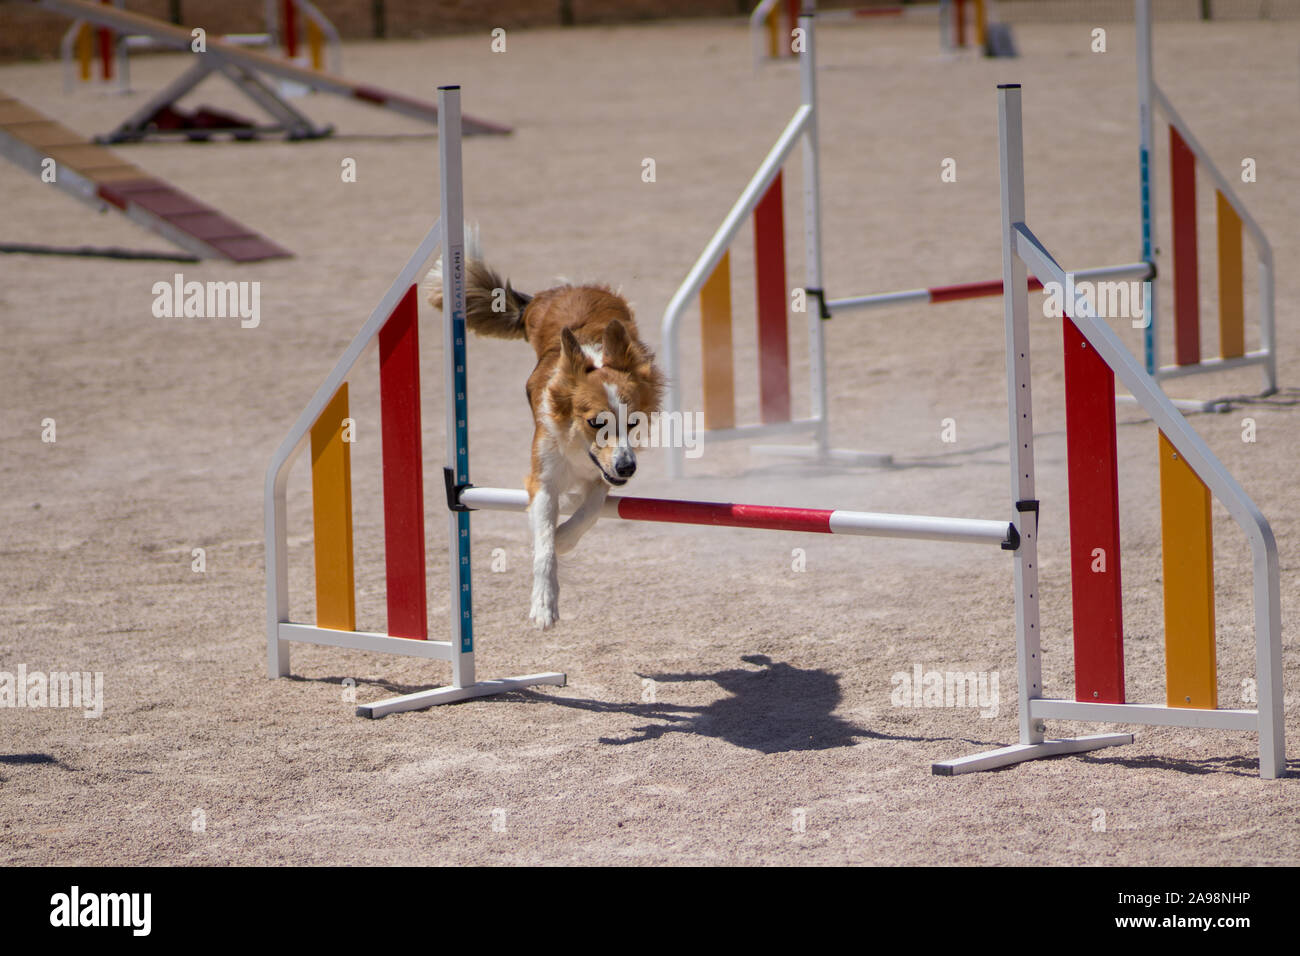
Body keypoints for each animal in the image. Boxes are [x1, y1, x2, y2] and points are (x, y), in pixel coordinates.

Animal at [431, 240, 665, 629]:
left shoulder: (601, 477)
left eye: (633, 423)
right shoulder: (543, 477)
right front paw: (543, 604)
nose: (628, 468)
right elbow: (543, 546)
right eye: (596, 422)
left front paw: (563, 538)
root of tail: (565, 290)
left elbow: (587, 513)